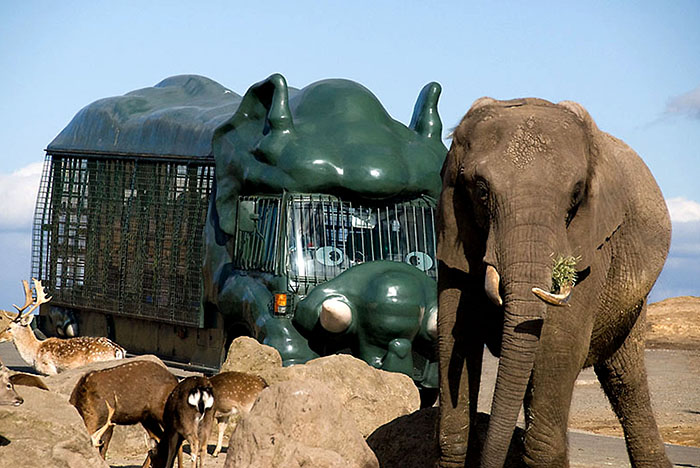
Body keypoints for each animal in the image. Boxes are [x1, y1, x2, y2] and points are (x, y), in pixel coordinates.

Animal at [438, 97, 672, 466]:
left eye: (575, 194)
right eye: (481, 191)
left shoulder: (594, 244)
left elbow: (557, 344)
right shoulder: (453, 231)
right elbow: (455, 337)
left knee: (626, 381)